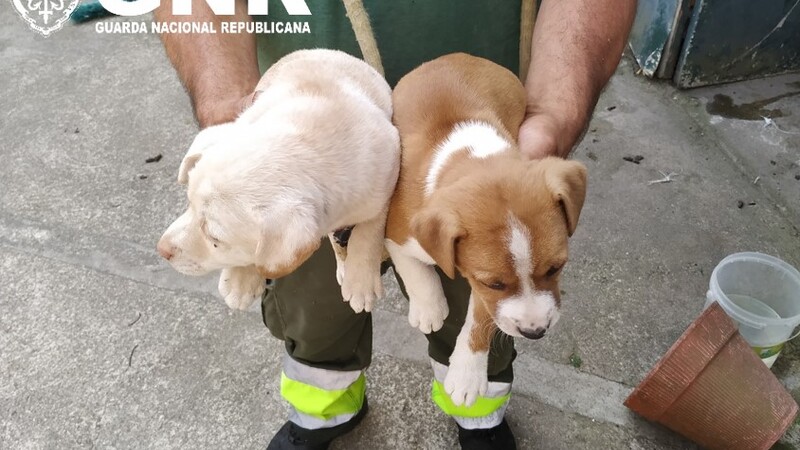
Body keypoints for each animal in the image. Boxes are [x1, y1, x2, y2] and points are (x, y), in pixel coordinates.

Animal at [158, 47, 400, 312]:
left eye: (214, 239)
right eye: (189, 204)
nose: (161, 249)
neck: (305, 144)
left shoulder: (388, 171)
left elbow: (370, 228)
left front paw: (360, 281)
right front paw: (241, 280)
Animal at [388, 53, 588, 408]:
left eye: (556, 268)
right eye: (494, 283)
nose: (535, 331)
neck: (474, 155)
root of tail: (455, 56)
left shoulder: (485, 297)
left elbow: (482, 319)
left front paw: (467, 373)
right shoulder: (396, 232)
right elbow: (413, 268)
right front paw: (429, 307)